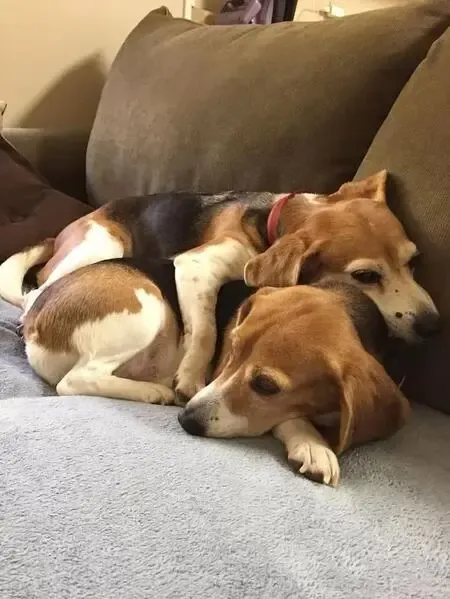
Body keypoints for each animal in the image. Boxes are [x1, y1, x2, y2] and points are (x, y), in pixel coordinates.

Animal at [0, 170, 440, 403]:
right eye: (366, 277)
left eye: (413, 262)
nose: (432, 325)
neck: (271, 220)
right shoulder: (195, 266)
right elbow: (206, 329)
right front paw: (191, 375)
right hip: (104, 246)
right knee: (37, 303)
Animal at [21, 256, 410, 487]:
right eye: (230, 350)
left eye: (266, 385)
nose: (186, 420)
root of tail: (33, 319)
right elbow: (290, 419)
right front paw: (313, 445)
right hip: (145, 306)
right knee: (76, 380)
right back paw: (152, 392)